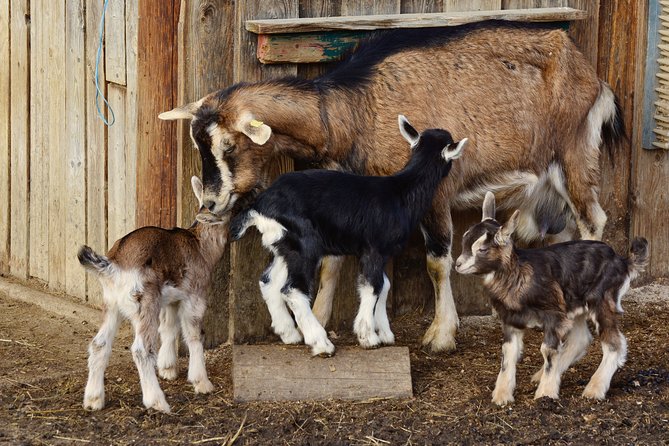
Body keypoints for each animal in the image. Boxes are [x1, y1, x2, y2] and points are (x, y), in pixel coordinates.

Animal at [78, 177, 226, 413]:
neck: (200, 245)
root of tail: (113, 265)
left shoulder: (171, 299)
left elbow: (169, 328)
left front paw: (168, 369)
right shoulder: (195, 295)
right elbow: (194, 335)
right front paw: (202, 382)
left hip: (111, 304)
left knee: (99, 344)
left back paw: (93, 400)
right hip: (144, 302)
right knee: (141, 349)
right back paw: (156, 401)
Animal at [227, 116, 466, 356]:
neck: (401, 192)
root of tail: (259, 207)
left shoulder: (377, 252)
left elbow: (384, 285)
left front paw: (385, 333)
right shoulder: (374, 249)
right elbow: (373, 286)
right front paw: (368, 337)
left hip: (284, 246)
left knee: (269, 281)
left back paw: (289, 334)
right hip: (305, 245)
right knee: (293, 289)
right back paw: (320, 343)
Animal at [455, 191, 648, 405]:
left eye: (482, 249)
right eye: (464, 241)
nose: (458, 264)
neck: (518, 275)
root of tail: (622, 261)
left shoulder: (554, 316)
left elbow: (548, 351)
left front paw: (545, 393)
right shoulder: (511, 320)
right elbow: (508, 353)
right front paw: (502, 395)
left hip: (602, 300)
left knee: (614, 343)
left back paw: (594, 389)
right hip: (574, 306)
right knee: (581, 339)